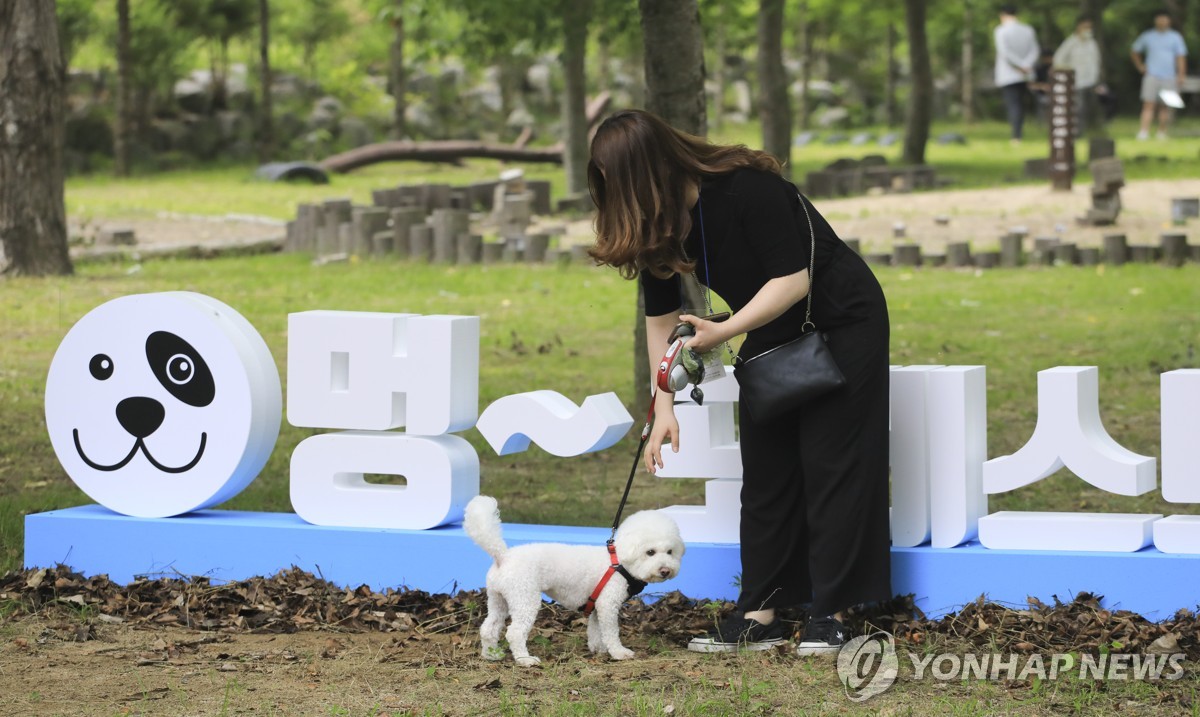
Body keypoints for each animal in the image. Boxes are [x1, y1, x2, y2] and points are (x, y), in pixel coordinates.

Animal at [460, 493, 686, 666]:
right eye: (650, 552)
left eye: (670, 552)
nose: (665, 570)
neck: (619, 560)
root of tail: (503, 556)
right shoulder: (608, 603)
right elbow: (611, 632)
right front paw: (619, 652)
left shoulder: (596, 606)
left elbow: (595, 630)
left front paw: (598, 649)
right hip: (525, 598)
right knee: (514, 633)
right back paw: (525, 660)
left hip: (498, 599)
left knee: (489, 628)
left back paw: (491, 655)